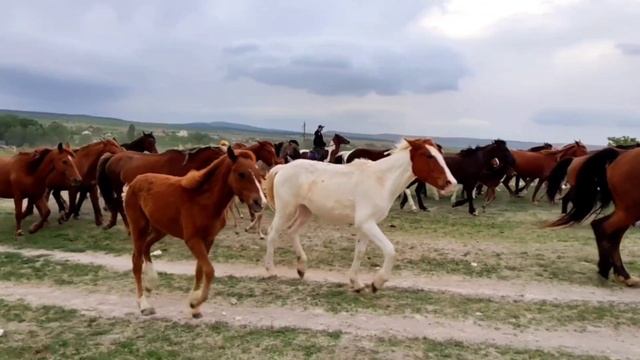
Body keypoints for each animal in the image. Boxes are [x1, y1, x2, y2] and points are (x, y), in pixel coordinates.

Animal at [125, 146, 264, 318]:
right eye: (241, 174)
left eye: (259, 175)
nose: (259, 202)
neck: (204, 201)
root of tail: (134, 181)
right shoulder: (193, 240)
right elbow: (209, 271)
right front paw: (195, 303)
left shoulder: (208, 239)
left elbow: (200, 270)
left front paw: (195, 307)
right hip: (139, 227)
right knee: (136, 261)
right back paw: (144, 304)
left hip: (160, 229)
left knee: (146, 247)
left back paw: (151, 283)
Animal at [262, 138, 458, 292]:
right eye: (429, 156)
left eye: (440, 155)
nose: (452, 183)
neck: (381, 181)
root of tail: (282, 168)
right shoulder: (367, 223)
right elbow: (390, 250)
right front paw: (377, 283)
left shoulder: (365, 226)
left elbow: (360, 252)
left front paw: (356, 283)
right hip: (286, 210)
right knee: (272, 234)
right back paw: (271, 270)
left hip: (305, 211)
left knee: (292, 231)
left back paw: (301, 268)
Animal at [544, 147, 640, 286]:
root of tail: (621, 154)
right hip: (630, 209)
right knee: (604, 228)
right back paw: (611, 271)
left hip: (627, 210)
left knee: (609, 231)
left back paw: (616, 273)